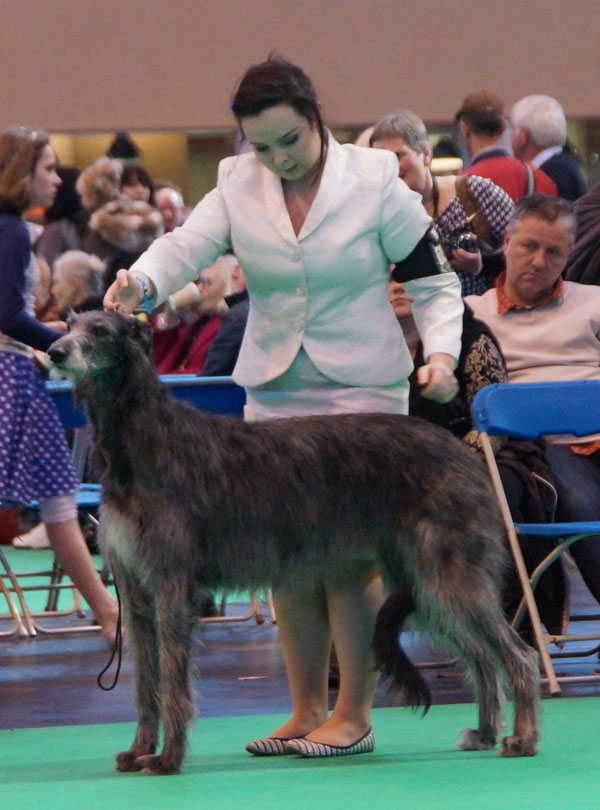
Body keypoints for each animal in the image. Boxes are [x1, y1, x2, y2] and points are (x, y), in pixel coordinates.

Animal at [48, 308, 540, 772]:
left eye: (99, 331)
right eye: (70, 324)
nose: (54, 352)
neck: (143, 435)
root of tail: (463, 451)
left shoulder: (172, 583)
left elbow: (172, 679)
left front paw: (169, 759)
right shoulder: (135, 589)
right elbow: (145, 681)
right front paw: (139, 751)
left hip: (447, 572)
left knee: (518, 654)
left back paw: (523, 738)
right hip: (426, 581)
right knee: (481, 657)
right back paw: (485, 732)